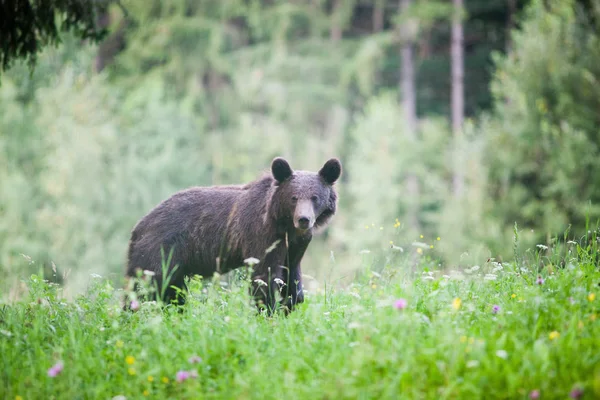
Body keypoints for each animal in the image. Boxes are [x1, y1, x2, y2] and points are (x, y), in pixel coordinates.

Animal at [125, 158, 342, 314]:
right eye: (294, 197)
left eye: (315, 197)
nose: (304, 219)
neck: (285, 225)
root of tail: (138, 226)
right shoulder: (261, 235)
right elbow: (264, 277)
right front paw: (268, 312)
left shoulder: (297, 245)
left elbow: (291, 277)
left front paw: (291, 303)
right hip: (160, 251)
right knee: (145, 286)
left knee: (172, 292)